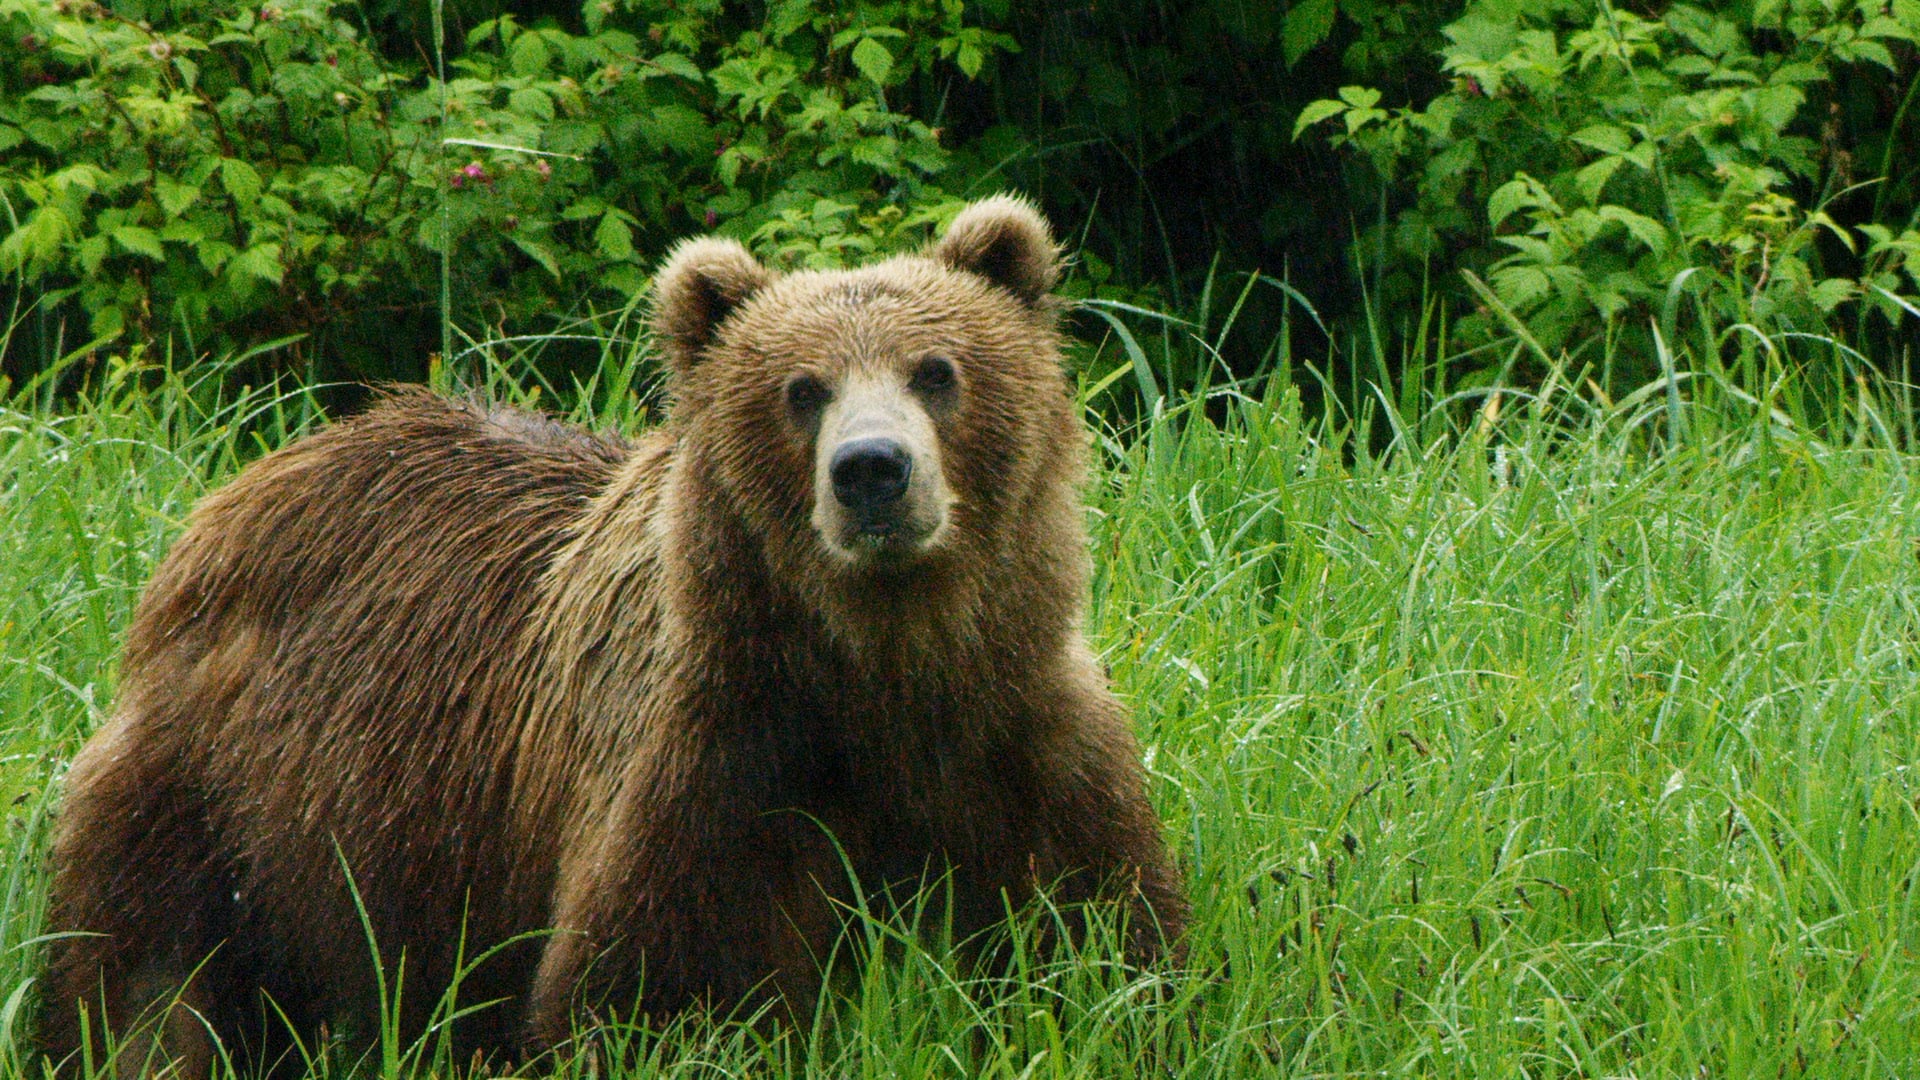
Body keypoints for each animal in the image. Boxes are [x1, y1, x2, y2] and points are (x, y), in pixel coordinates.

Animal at [37, 197, 1182, 1068]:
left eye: (936, 369)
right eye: (801, 389)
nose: (871, 471)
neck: (886, 672)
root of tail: (239, 493)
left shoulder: (1023, 746)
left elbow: (1099, 950)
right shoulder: (717, 767)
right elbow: (660, 991)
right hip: (224, 802)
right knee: (145, 981)